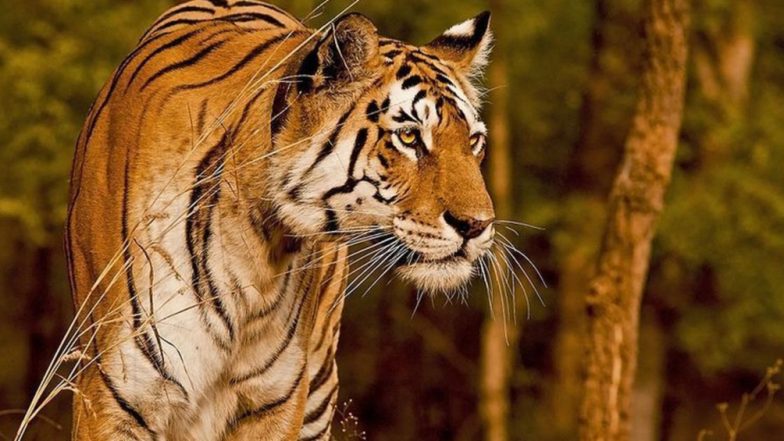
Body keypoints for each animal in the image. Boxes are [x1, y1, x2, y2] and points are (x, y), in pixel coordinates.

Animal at [65, 0, 496, 439]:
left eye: (474, 141)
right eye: (409, 137)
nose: (478, 225)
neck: (255, 241)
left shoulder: (277, 399)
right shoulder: (113, 395)